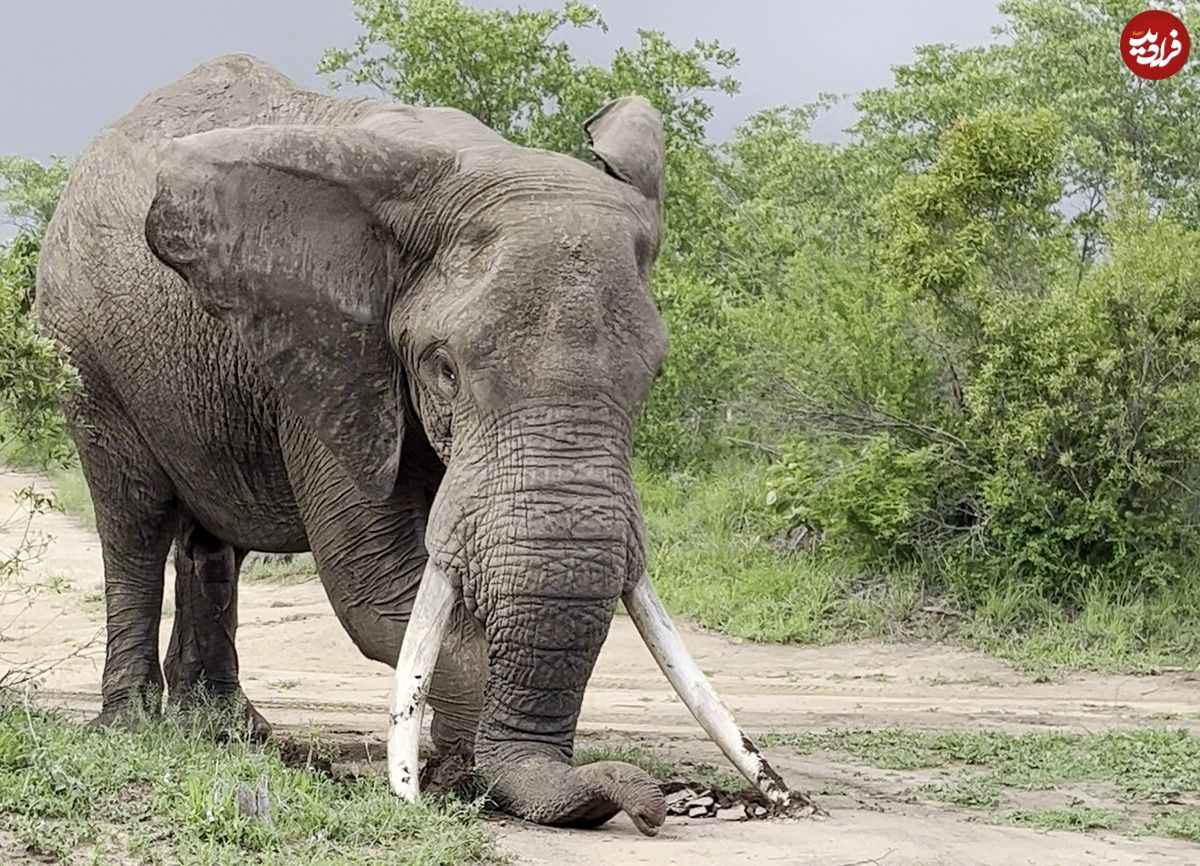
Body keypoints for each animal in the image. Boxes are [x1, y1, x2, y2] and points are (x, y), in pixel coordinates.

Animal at [35, 52, 806, 830]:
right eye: (443, 368)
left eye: (654, 375)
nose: (648, 805)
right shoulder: (332, 355)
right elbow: (375, 583)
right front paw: (460, 777)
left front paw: (463, 770)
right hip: (84, 353)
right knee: (133, 522)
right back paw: (133, 726)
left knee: (212, 545)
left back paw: (227, 730)